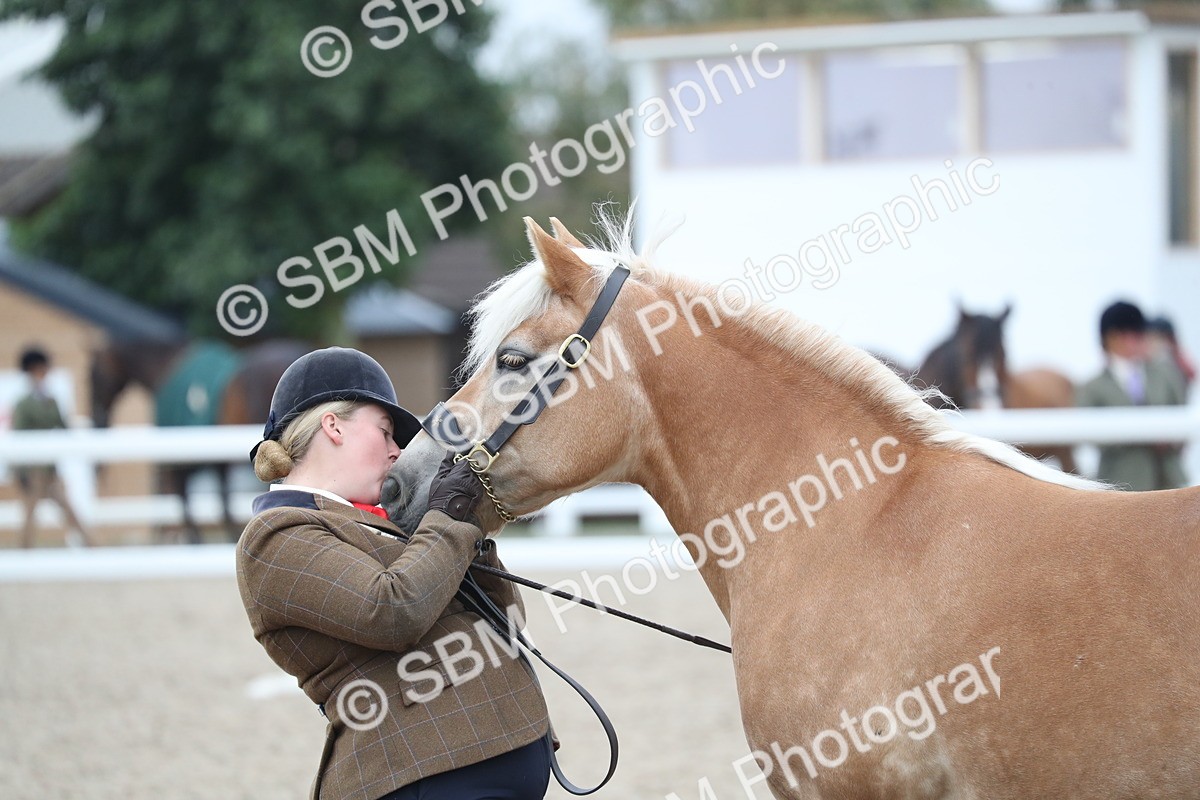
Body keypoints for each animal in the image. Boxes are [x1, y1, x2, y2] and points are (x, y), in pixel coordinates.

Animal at [91, 338, 309, 542]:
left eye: (94, 375)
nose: (99, 418)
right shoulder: (217, 461)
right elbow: (222, 500)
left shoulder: (182, 456)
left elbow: (187, 496)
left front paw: (196, 538)